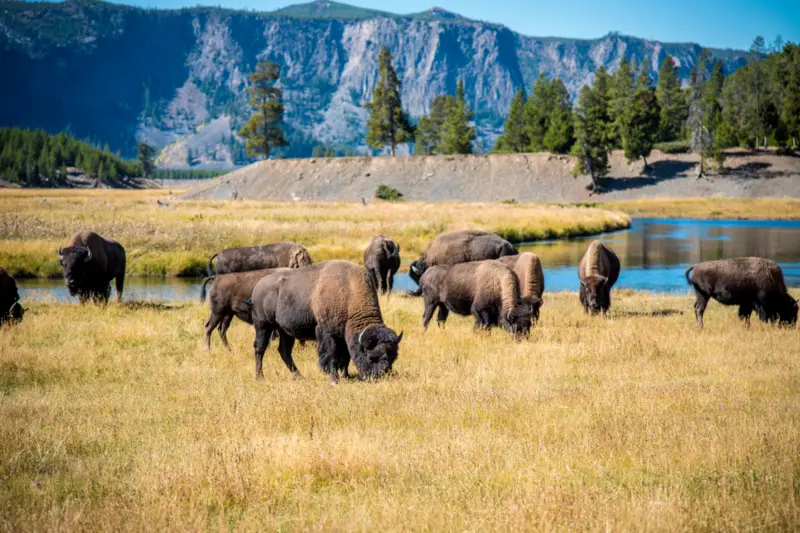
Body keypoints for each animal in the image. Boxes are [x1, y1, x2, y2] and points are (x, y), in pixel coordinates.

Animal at [250, 260, 404, 380]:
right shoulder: (326, 333)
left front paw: (345, 376)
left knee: (284, 351)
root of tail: (258, 286)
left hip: (285, 331)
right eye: (372, 357)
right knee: (260, 348)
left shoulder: (343, 336)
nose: (381, 375)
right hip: (263, 326)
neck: (349, 291)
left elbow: (345, 358)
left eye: (394, 356)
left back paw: (299, 376)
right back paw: (260, 376)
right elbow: (332, 355)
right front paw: (334, 377)